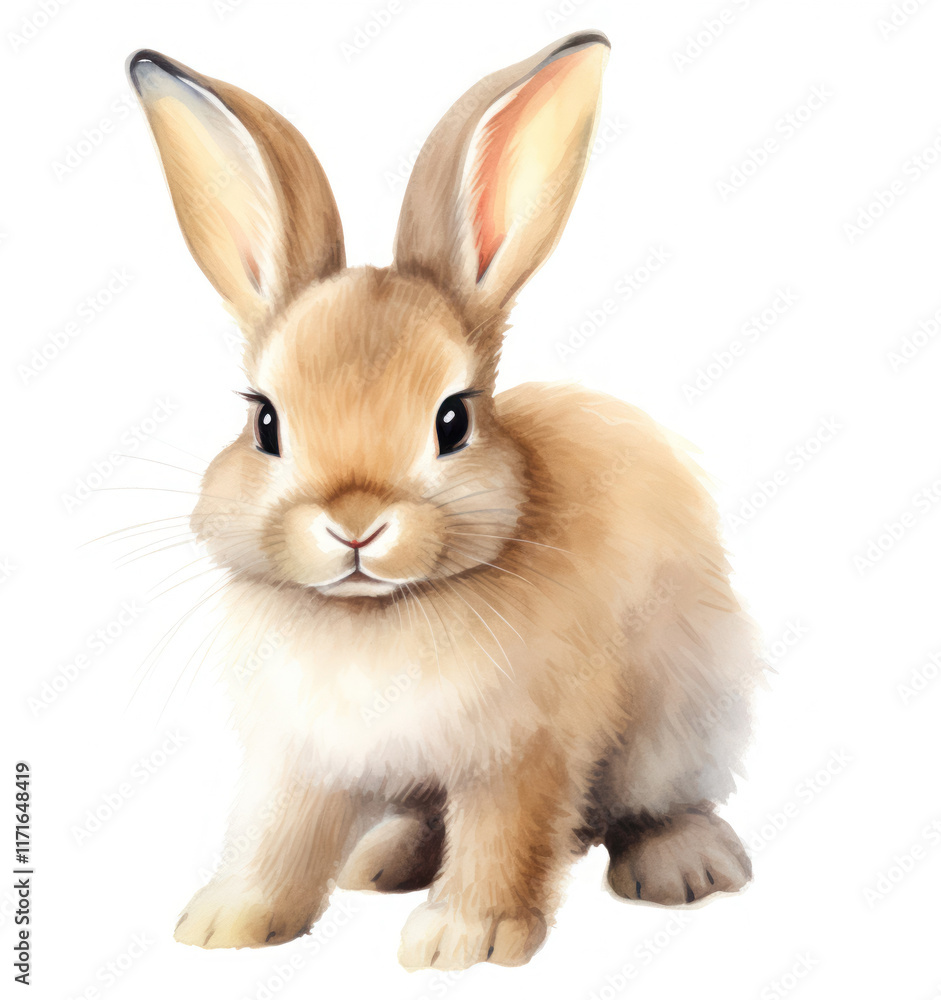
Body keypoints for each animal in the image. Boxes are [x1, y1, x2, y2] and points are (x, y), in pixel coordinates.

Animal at [126, 30, 763, 971]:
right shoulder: (299, 758)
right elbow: (279, 837)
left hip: (678, 725)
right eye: (264, 422)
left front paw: (465, 941)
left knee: (650, 806)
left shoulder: (525, 748)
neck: (370, 615)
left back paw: (682, 867)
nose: (354, 525)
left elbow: (503, 835)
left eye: (452, 419)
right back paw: (381, 860)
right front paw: (226, 924)